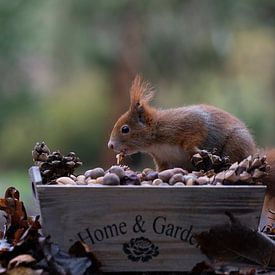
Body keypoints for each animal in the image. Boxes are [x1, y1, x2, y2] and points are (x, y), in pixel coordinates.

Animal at [108, 74, 275, 196]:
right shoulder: (162, 159)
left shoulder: (190, 124)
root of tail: (253, 152)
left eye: (125, 129)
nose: (110, 145)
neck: (156, 140)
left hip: (236, 145)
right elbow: (162, 170)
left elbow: (194, 137)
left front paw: (198, 152)